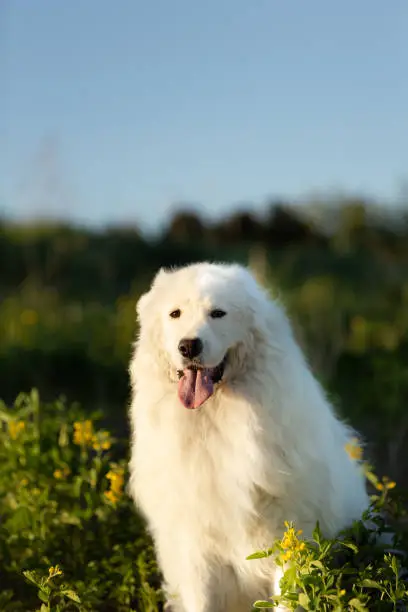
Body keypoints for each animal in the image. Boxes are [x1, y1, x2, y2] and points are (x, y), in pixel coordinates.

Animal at [128, 262, 370, 612]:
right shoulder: (195, 546)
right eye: (175, 314)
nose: (188, 346)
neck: (215, 420)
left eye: (218, 313)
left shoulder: (291, 536)